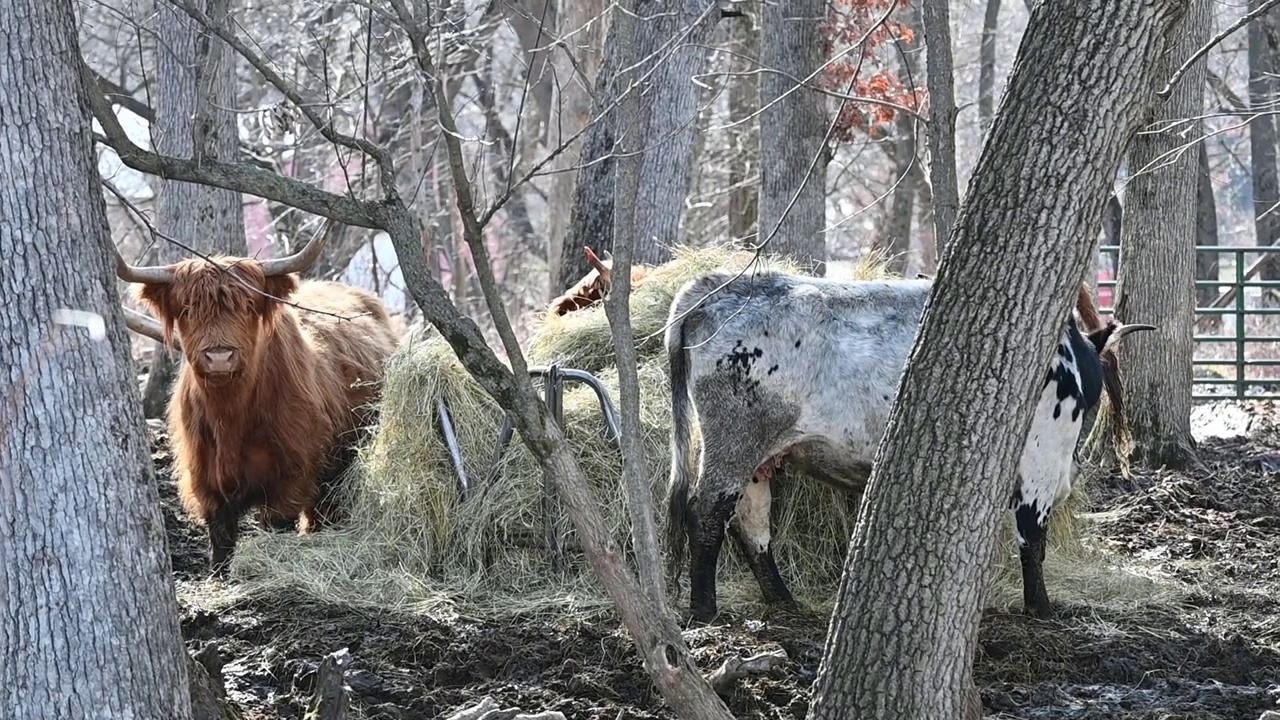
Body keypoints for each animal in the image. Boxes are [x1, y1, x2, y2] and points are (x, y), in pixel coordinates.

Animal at [665, 271, 1157, 620]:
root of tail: (716, 286)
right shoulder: (1040, 459)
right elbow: (1033, 539)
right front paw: (1041, 608)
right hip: (734, 442)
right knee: (706, 513)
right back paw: (704, 609)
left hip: (759, 458)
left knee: (750, 526)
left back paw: (783, 600)